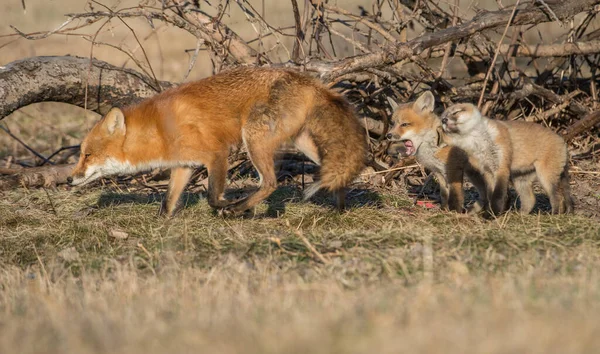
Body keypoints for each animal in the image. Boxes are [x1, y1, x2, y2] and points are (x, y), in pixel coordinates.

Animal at [65, 66, 366, 216]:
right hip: (301, 143)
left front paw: (228, 206)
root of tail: (308, 81)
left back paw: (241, 208)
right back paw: (339, 209)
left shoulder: (216, 154)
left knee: (270, 183)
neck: (160, 129)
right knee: (337, 170)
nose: (68, 179)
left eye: (87, 155)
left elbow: (212, 196)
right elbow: (167, 201)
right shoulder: (183, 165)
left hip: (253, 139)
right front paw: (162, 225)